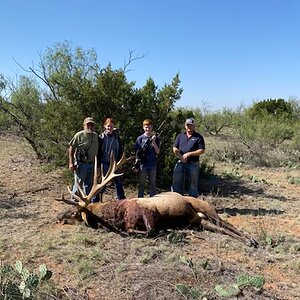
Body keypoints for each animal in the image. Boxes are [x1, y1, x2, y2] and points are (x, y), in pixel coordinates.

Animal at [57, 155, 258, 246]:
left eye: (74, 212)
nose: (58, 217)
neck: (115, 215)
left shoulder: (147, 212)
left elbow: (151, 231)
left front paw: (166, 232)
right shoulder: (131, 224)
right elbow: (133, 231)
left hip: (207, 208)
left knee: (227, 224)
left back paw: (251, 239)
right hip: (200, 221)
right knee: (219, 227)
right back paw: (248, 240)